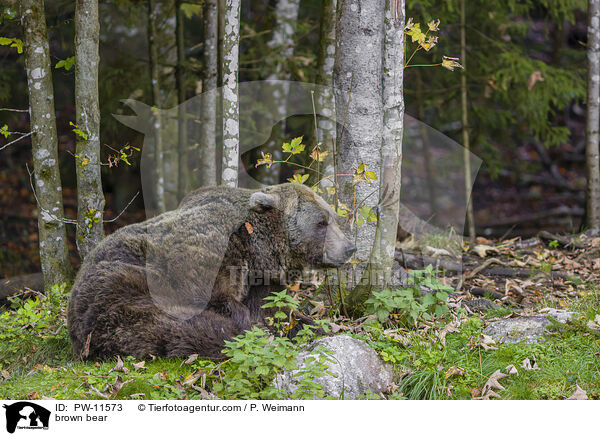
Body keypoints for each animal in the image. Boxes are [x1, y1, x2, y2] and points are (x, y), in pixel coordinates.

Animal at [65, 182, 356, 360]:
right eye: (321, 222)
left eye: (333, 218)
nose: (350, 247)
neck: (254, 246)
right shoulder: (206, 257)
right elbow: (222, 302)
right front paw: (251, 329)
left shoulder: (261, 280)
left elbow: (277, 309)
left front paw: (312, 326)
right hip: (119, 285)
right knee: (175, 327)